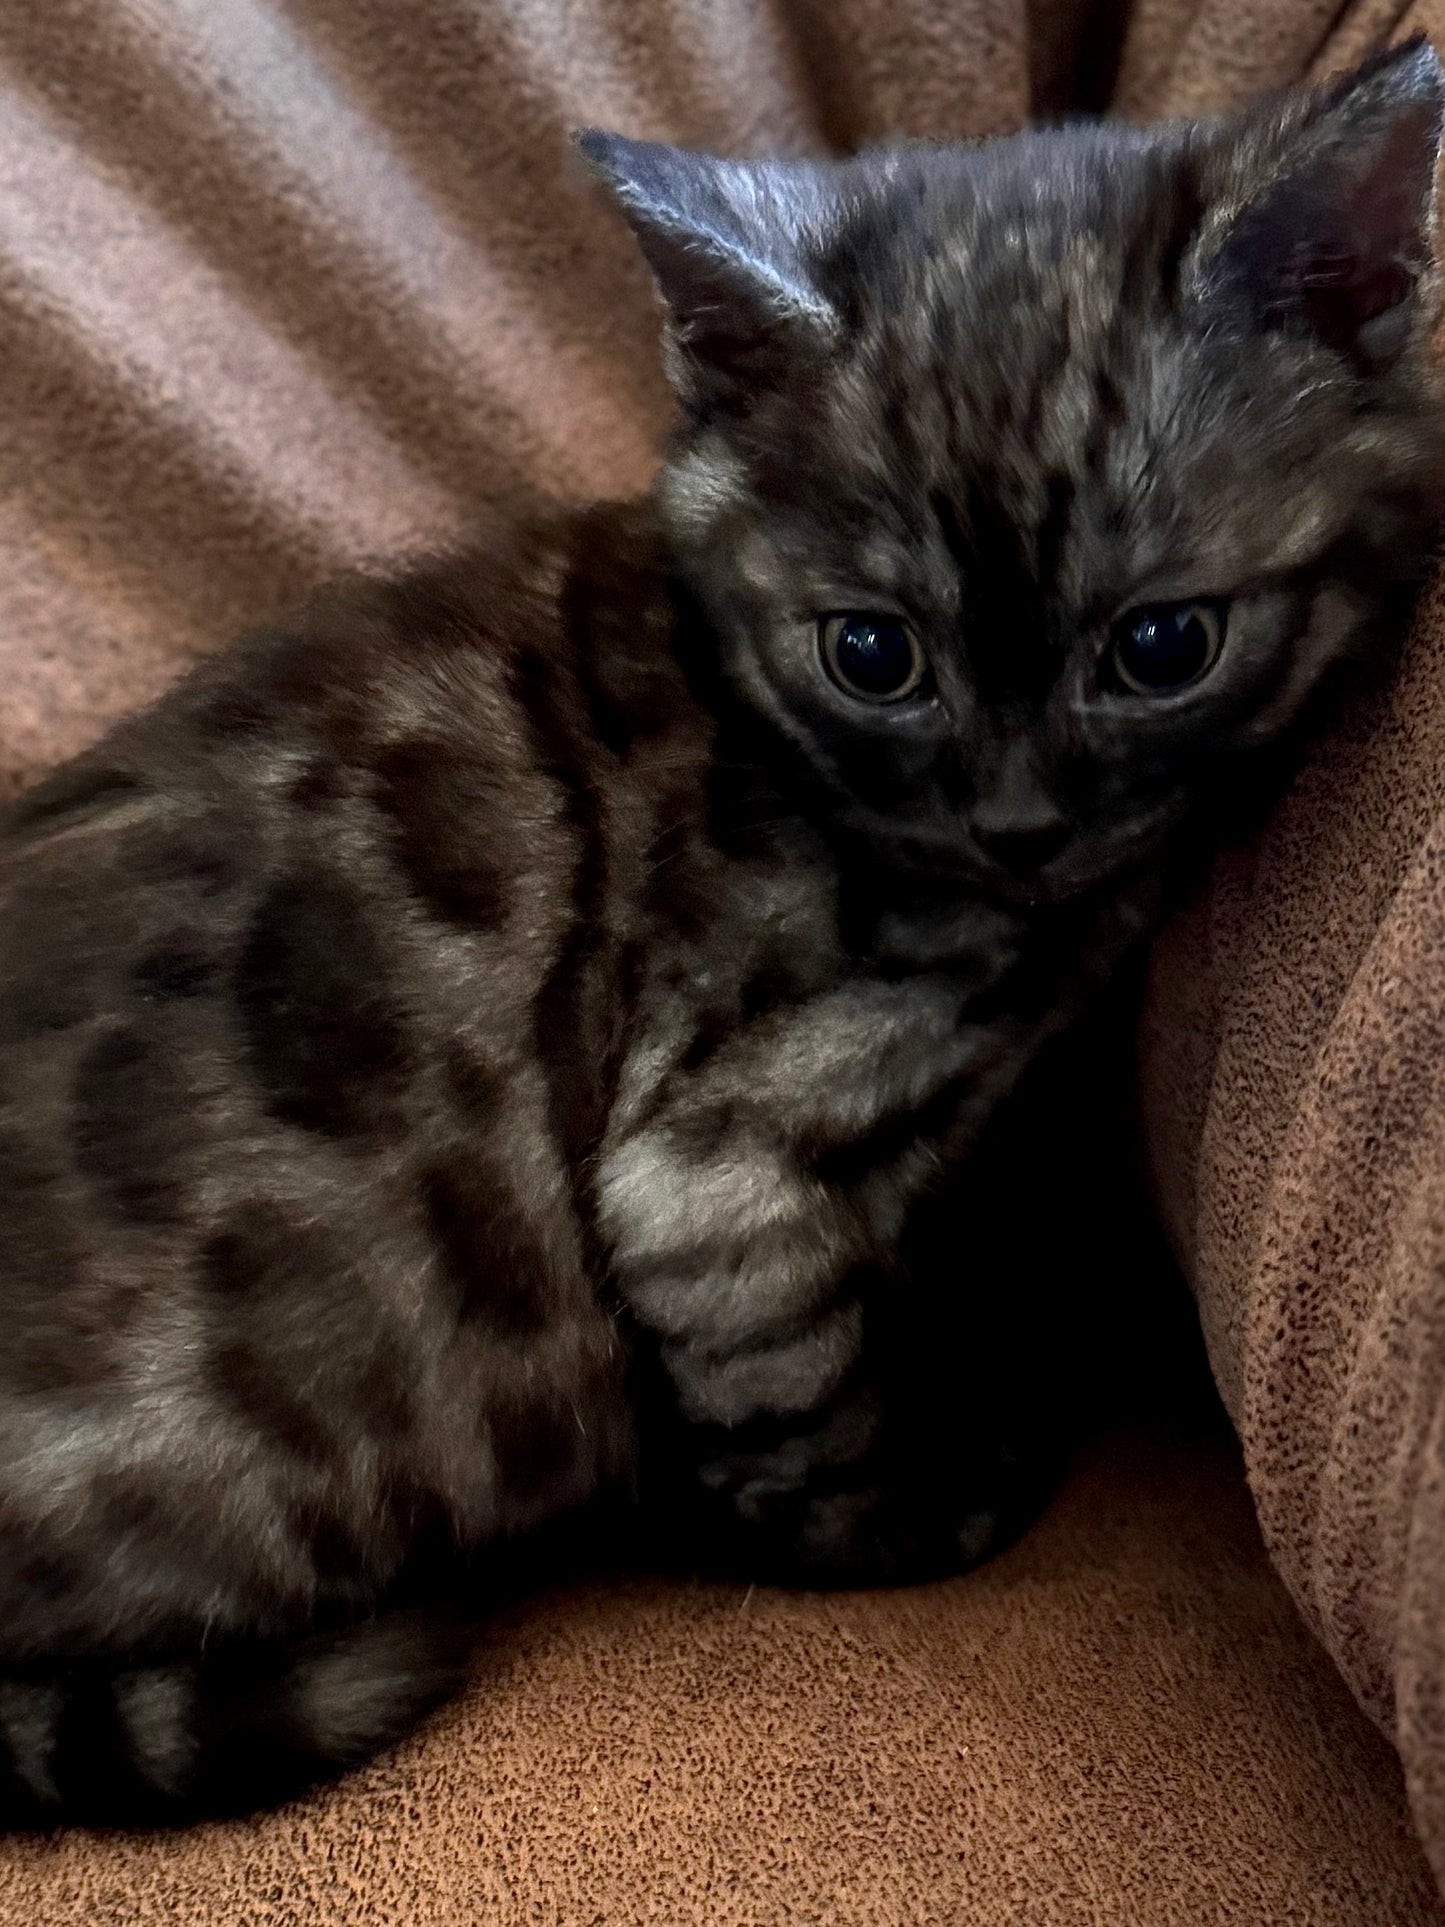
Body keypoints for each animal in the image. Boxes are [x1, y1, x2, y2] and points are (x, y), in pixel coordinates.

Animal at [2, 41, 1445, 1819]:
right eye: (873, 653)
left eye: (1162, 644)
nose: (1017, 821)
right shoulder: (713, 1169)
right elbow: (802, 1419)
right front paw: (921, 1505)